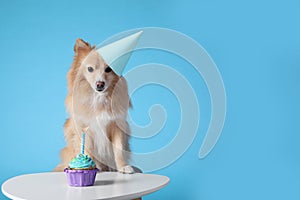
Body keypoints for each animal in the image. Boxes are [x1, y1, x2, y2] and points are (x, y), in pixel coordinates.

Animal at [54, 38, 135, 173]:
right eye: (90, 69)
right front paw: (91, 166)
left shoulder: (117, 127)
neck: (98, 98)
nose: (100, 84)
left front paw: (122, 166)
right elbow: (87, 150)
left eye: (108, 69)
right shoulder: (84, 129)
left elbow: (118, 150)